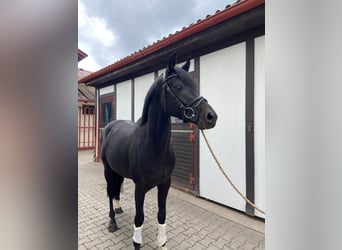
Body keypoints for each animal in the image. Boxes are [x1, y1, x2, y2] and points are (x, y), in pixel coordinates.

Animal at [101, 53, 216, 249]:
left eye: (195, 85)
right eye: (178, 86)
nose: (211, 117)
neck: (154, 147)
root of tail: (111, 125)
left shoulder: (165, 184)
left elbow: (162, 214)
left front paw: (162, 243)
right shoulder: (140, 187)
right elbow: (139, 218)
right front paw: (136, 243)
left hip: (118, 171)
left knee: (115, 190)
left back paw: (118, 207)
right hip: (108, 170)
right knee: (109, 192)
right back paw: (112, 222)